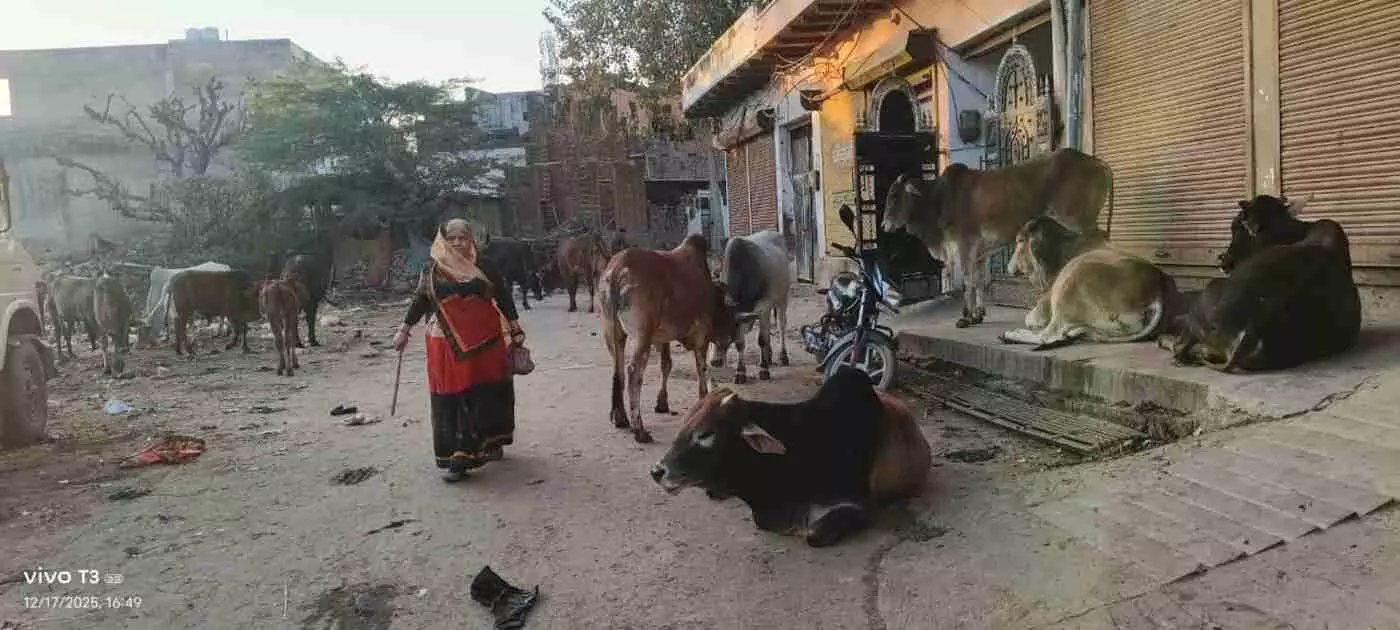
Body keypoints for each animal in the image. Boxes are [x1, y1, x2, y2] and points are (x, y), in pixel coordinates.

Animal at [599, 234, 737, 443]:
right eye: (728, 314)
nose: (728, 338)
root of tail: (616, 269)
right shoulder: (701, 334)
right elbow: (701, 367)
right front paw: (704, 398)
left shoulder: (663, 339)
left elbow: (666, 365)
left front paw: (662, 403)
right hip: (642, 336)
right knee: (633, 373)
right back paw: (639, 429)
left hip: (613, 332)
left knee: (618, 370)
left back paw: (621, 418)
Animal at [711, 230, 792, 384]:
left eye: (726, 331)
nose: (714, 362)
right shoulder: (742, 316)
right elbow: (740, 343)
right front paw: (740, 373)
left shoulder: (763, 306)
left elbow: (762, 340)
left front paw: (764, 370)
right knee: (768, 329)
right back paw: (769, 356)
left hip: (782, 298)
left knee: (781, 326)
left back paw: (783, 356)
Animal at [882, 147, 1114, 328]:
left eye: (894, 195)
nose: (884, 226)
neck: (939, 200)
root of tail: (1098, 162)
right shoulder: (979, 252)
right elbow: (979, 281)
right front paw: (978, 315)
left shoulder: (965, 244)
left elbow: (967, 280)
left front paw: (965, 317)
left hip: (1077, 222)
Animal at [999, 216, 1182, 350]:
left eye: (1019, 241)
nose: (1008, 265)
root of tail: (1158, 288)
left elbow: (1031, 319)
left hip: (1074, 276)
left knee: (1049, 335)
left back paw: (1010, 335)